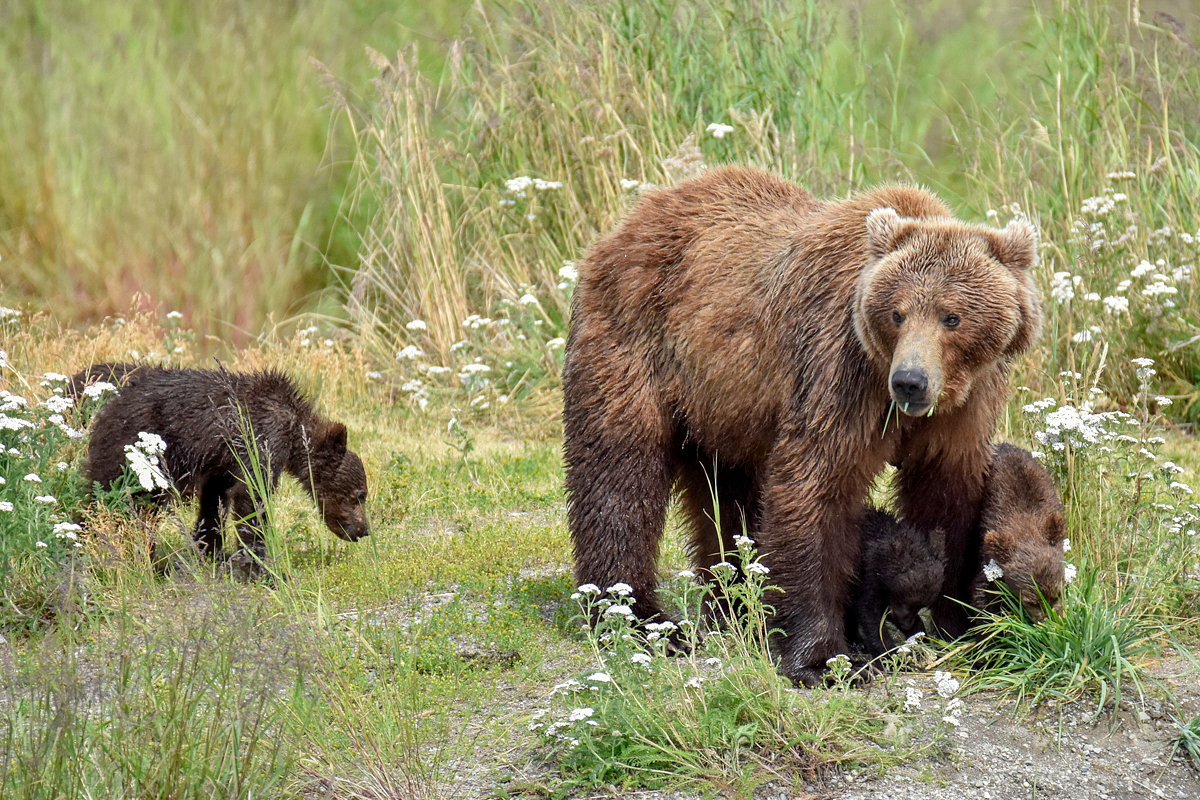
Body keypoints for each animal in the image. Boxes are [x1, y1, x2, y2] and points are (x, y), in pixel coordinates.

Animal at [561, 164, 1041, 690]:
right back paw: (638, 616)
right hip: (636, 341)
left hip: (725, 403)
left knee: (727, 493)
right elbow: (817, 488)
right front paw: (826, 659)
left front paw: (968, 627)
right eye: (897, 313)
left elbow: (948, 500)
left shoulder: (964, 410)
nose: (910, 381)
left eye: (951, 316)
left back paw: (734, 605)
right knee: (620, 473)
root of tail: (631, 219)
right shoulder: (839, 374)